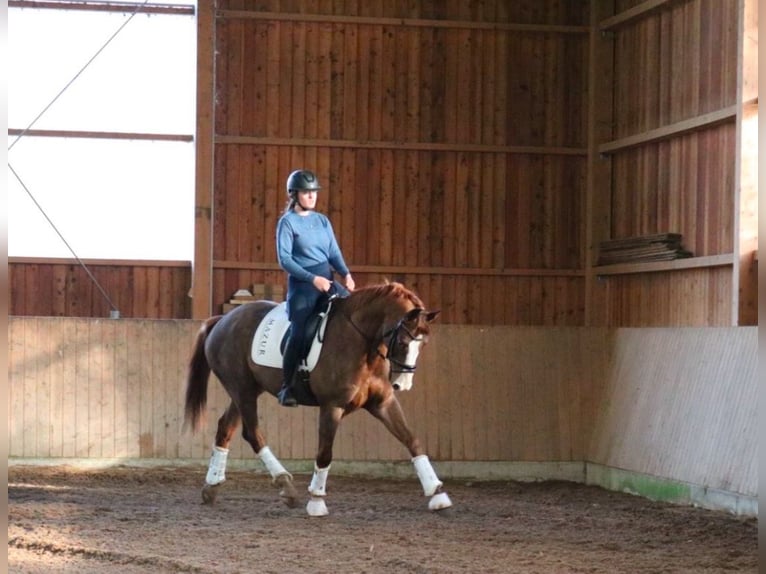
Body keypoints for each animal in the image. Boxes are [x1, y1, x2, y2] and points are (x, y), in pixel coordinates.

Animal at [183, 282, 452, 516]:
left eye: (424, 344)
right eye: (404, 342)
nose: (402, 385)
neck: (361, 344)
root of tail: (222, 320)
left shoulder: (383, 403)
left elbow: (412, 441)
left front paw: (437, 493)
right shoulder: (332, 406)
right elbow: (325, 453)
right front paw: (316, 501)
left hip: (246, 390)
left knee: (225, 427)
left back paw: (212, 486)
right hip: (242, 389)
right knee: (252, 433)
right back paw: (285, 485)